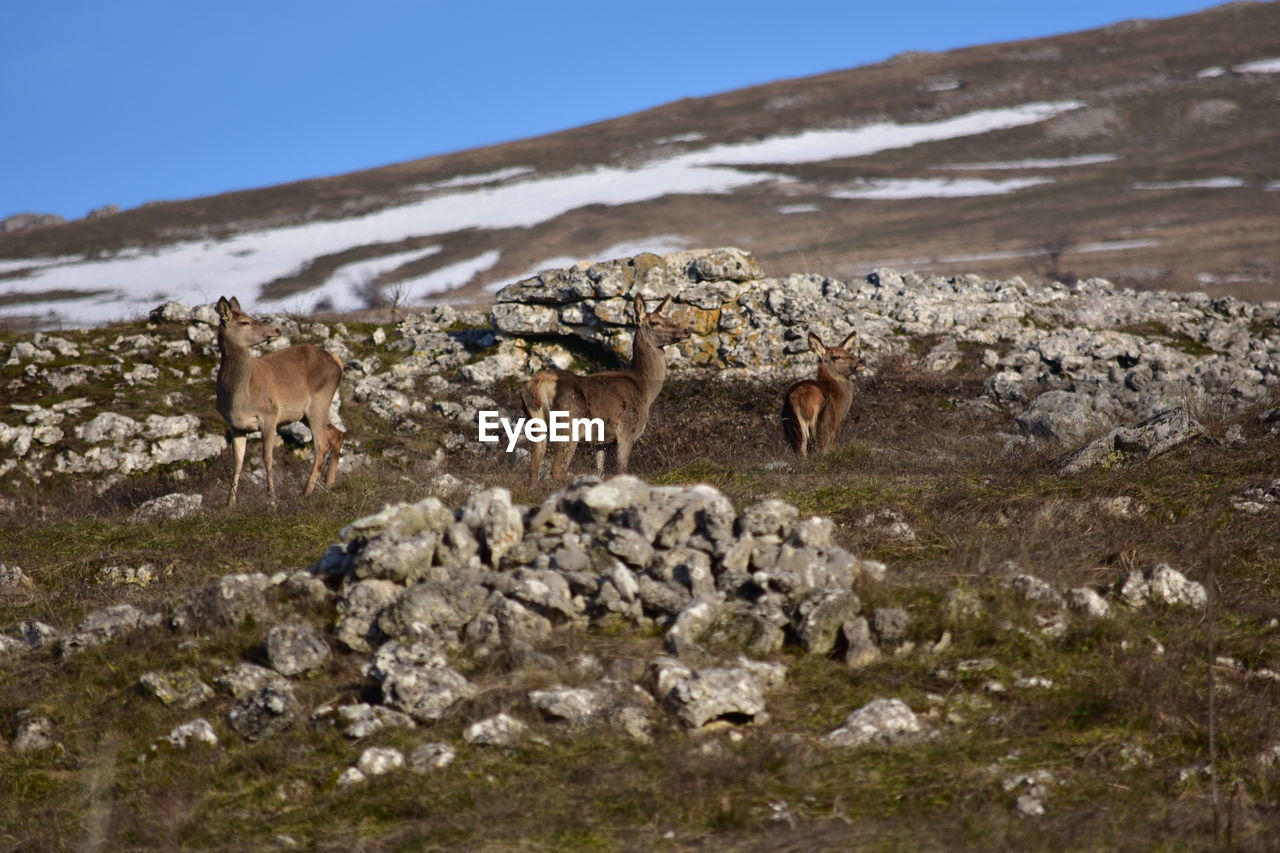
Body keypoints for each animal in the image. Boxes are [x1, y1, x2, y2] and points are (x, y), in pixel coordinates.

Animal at [522, 292, 691, 481]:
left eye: (668, 318)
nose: (686, 331)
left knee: (533, 467)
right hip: (570, 420)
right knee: (558, 468)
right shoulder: (626, 430)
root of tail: (538, 385)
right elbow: (622, 469)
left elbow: (600, 471)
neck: (645, 389)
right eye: (655, 322)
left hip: (535, 422)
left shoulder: (601, 441)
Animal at [773, 326, 865, 458]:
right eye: (836, 356)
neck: (839, 404)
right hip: (824, 426)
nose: (862, 361)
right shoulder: (834, 431)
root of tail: (803, 397)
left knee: (801, 450)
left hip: (791, 425)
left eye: (849, 353)